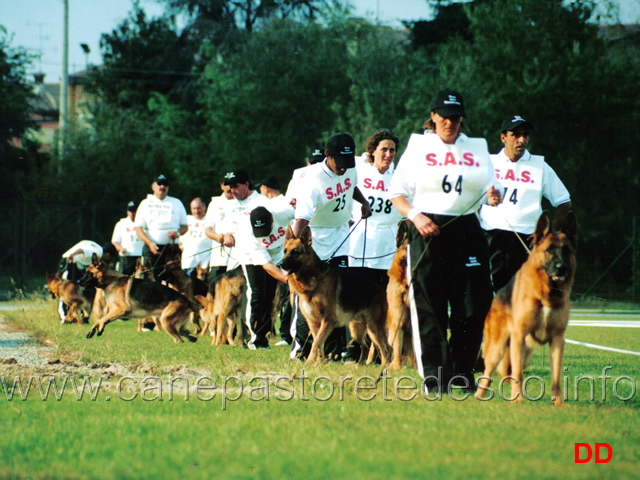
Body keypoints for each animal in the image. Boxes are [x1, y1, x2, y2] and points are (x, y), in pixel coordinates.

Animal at [282, 224, 390, 364]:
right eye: (284, 251)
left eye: (295, 251)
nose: (281, 264)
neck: (314, 277)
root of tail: (382, 291)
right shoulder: (314, 323)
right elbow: (319, 344)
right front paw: (319, 363)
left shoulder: (328, 320)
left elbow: (315, 343)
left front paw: (309, 362)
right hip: (357, 329)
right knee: (366, 346)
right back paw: (360, 365)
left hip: (374, 328)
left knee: (385, 348)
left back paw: (386, 366)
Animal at [476, 212, 576, 404]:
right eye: (549, 250)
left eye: (566, 250)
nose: (561, 268)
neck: (546, 293)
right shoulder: (519, 335)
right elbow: (517, 375)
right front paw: (518, 400)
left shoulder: (557, 339)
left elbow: (556, 377)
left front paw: (558, 403)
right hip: (498, 349)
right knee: (488, 373)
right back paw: (480, 395)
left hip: (525, 354)